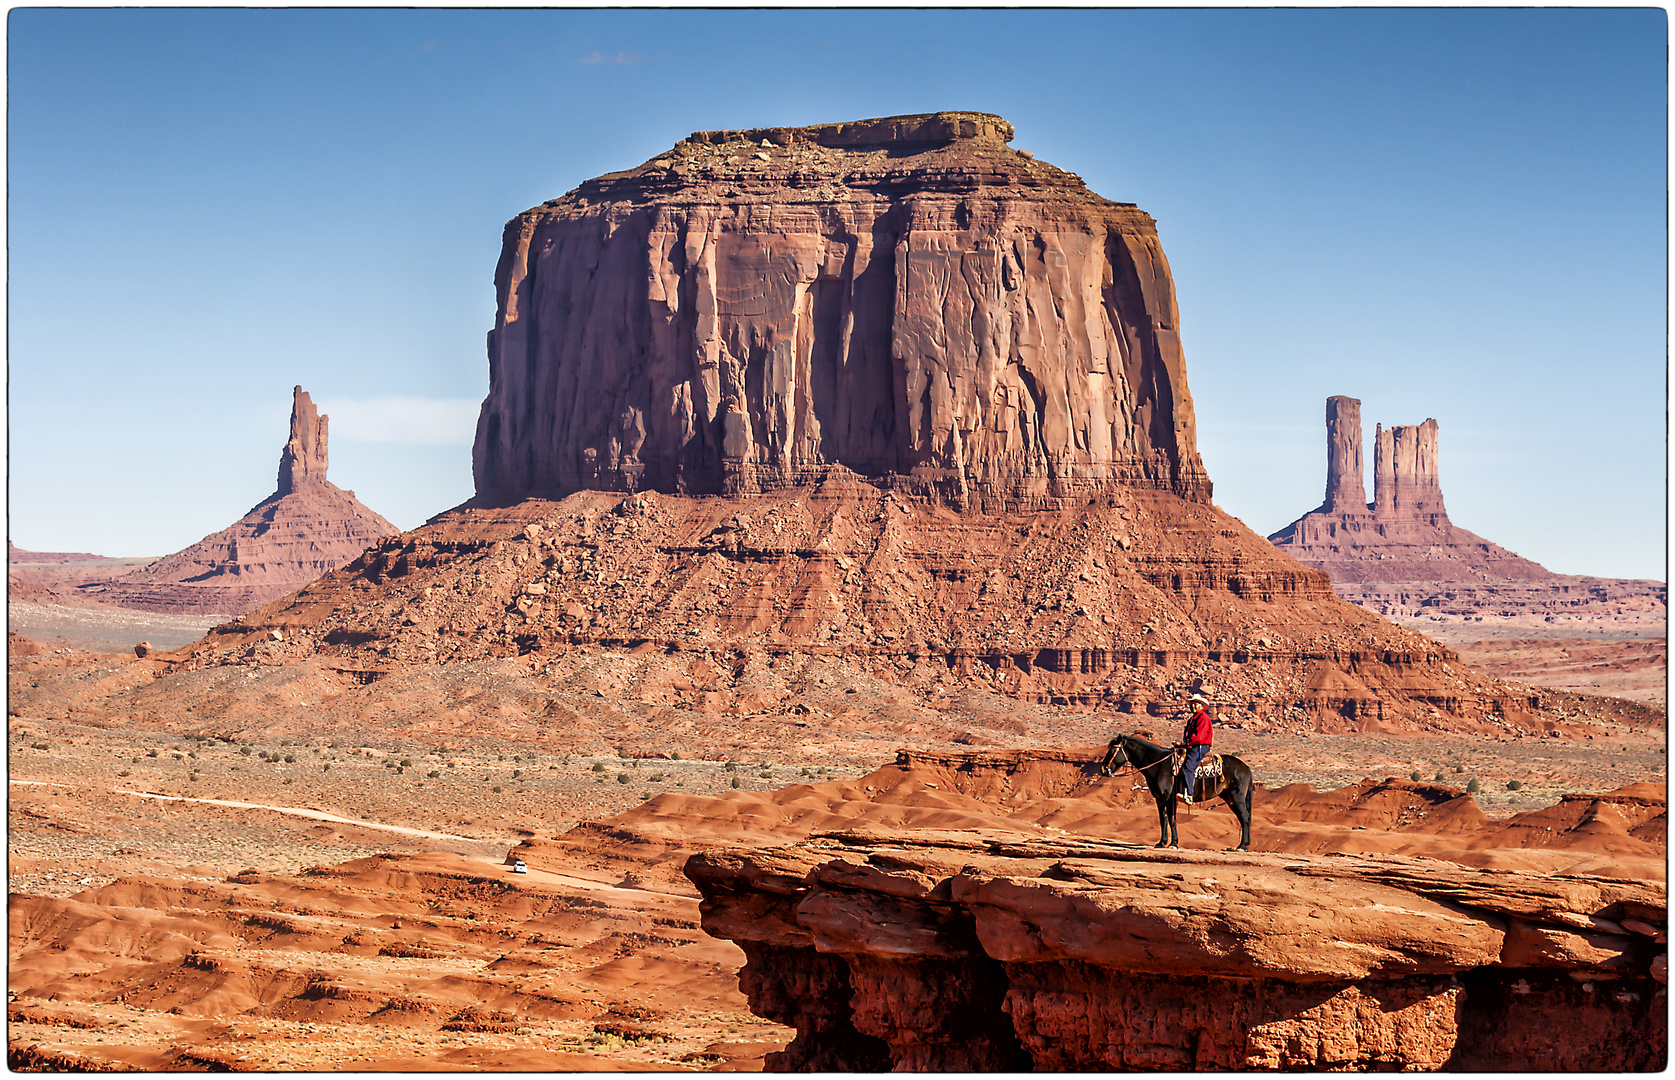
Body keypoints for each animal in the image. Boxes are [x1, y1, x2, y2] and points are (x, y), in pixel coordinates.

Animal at [1105, 733, 1252, 850]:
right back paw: (1244, 844)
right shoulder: (1159, 799)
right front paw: (1161, 843)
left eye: (1113, 750)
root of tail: (1246, 767)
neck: (1159, 765)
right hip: (1229, 798)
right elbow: (1163, 819)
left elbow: (1172, 818)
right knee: (1242, 818)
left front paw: (1173, 843)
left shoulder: (1169, 798)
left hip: (1237, 796)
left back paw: (1242, 846)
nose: (1103, 769)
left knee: (1245, 817)